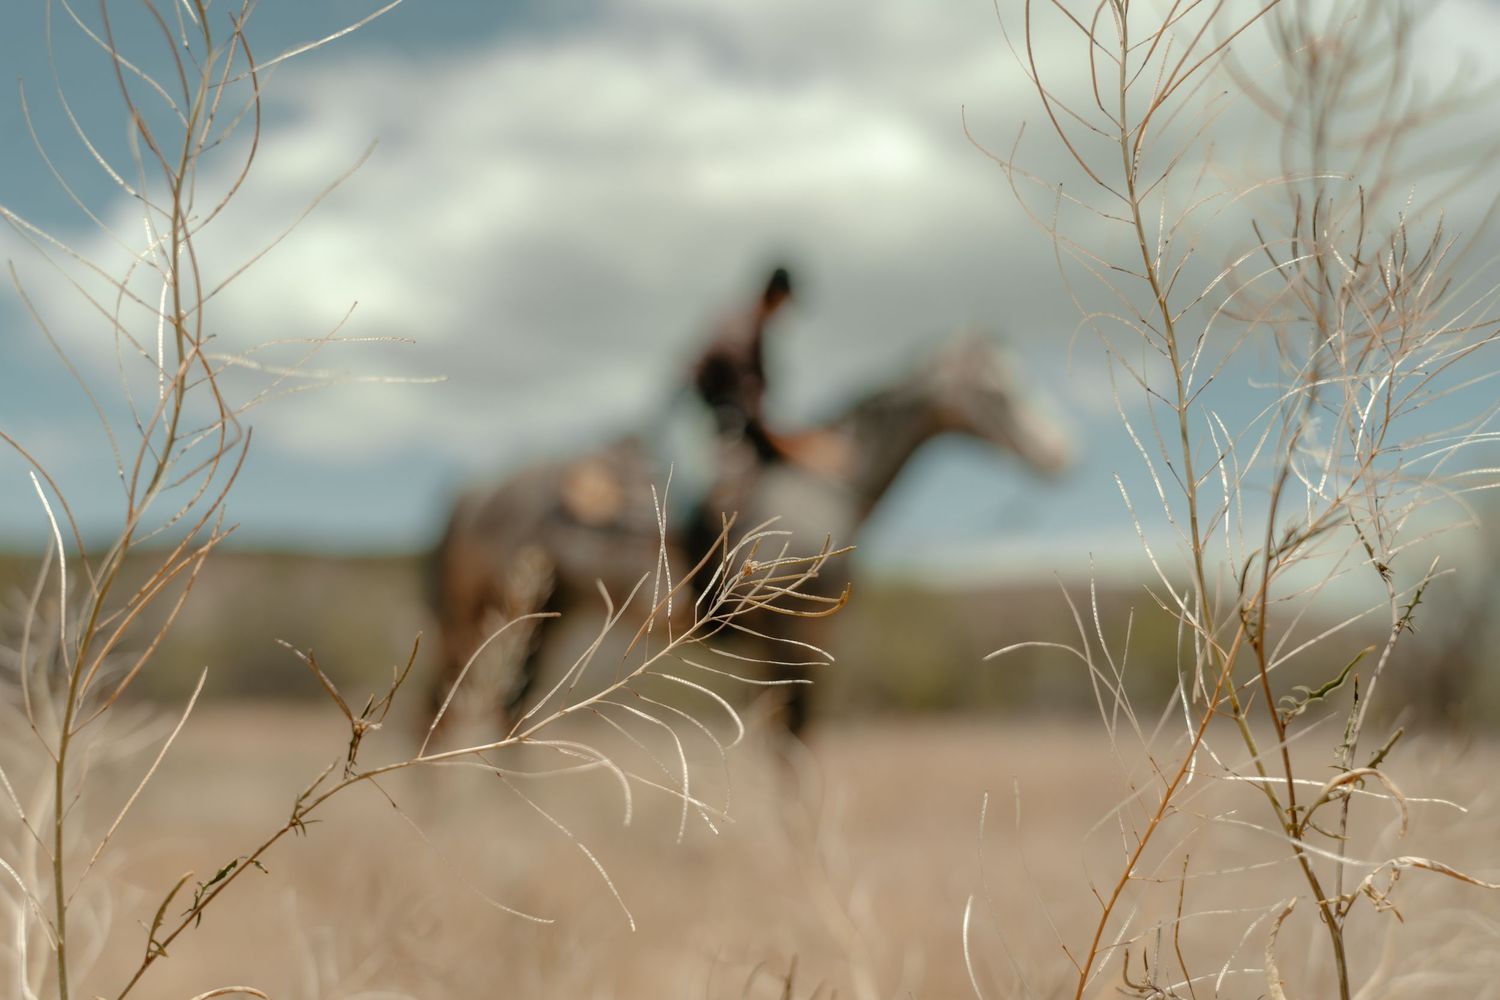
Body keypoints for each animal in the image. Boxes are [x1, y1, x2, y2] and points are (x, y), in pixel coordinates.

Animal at [427, 334, 1069, 736]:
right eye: (997, 392)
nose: (1062, 454)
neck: (826, 484)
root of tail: (479, 492)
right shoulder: (790, 642)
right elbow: (792, 745)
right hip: (514, 615)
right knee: (492, 706)